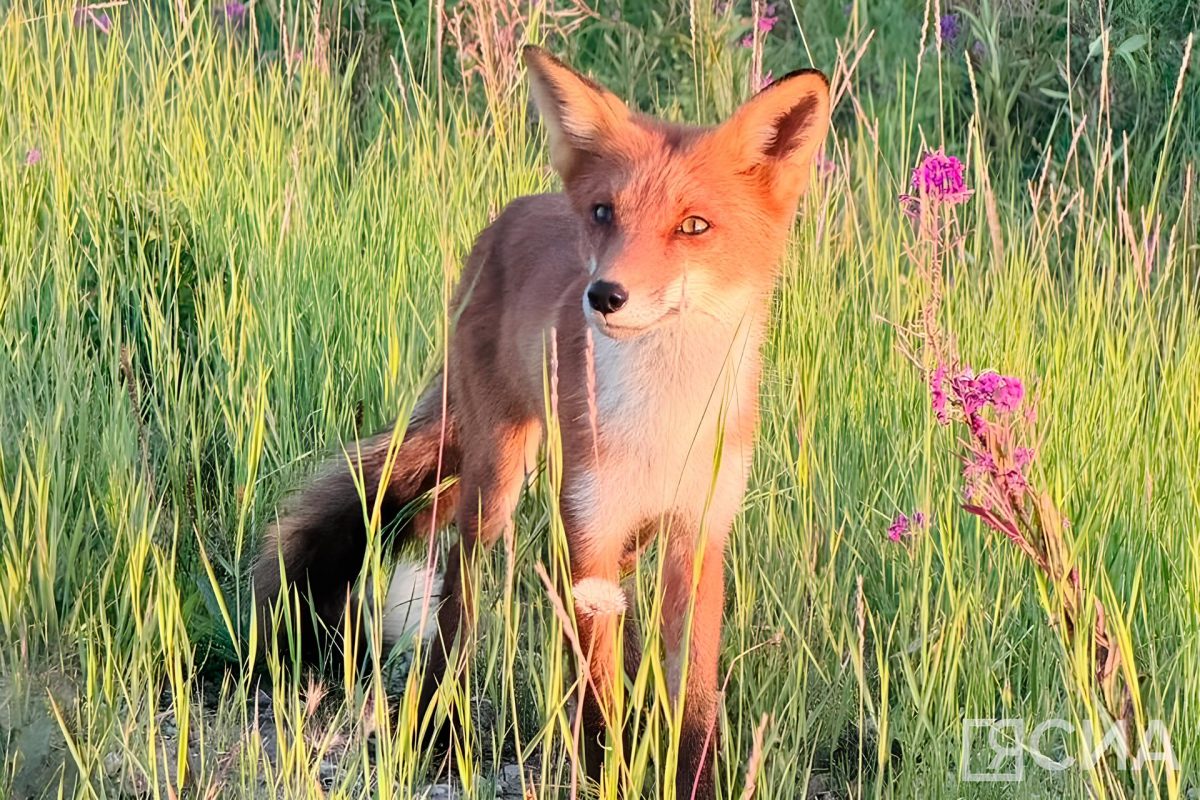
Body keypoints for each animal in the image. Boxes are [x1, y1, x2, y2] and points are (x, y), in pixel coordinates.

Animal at [255, 45, 825, 800]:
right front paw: (607, 772)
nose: (605, 295)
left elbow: (695, 706)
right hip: (499, 484)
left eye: (694, 226)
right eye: (605, 213)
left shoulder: (696, 536)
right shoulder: (586, 533)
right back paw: (442, 730)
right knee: (456, 605)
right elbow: (597, 704)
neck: (662, 422)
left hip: (605, 528)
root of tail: (517, 211)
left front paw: (691, 778)